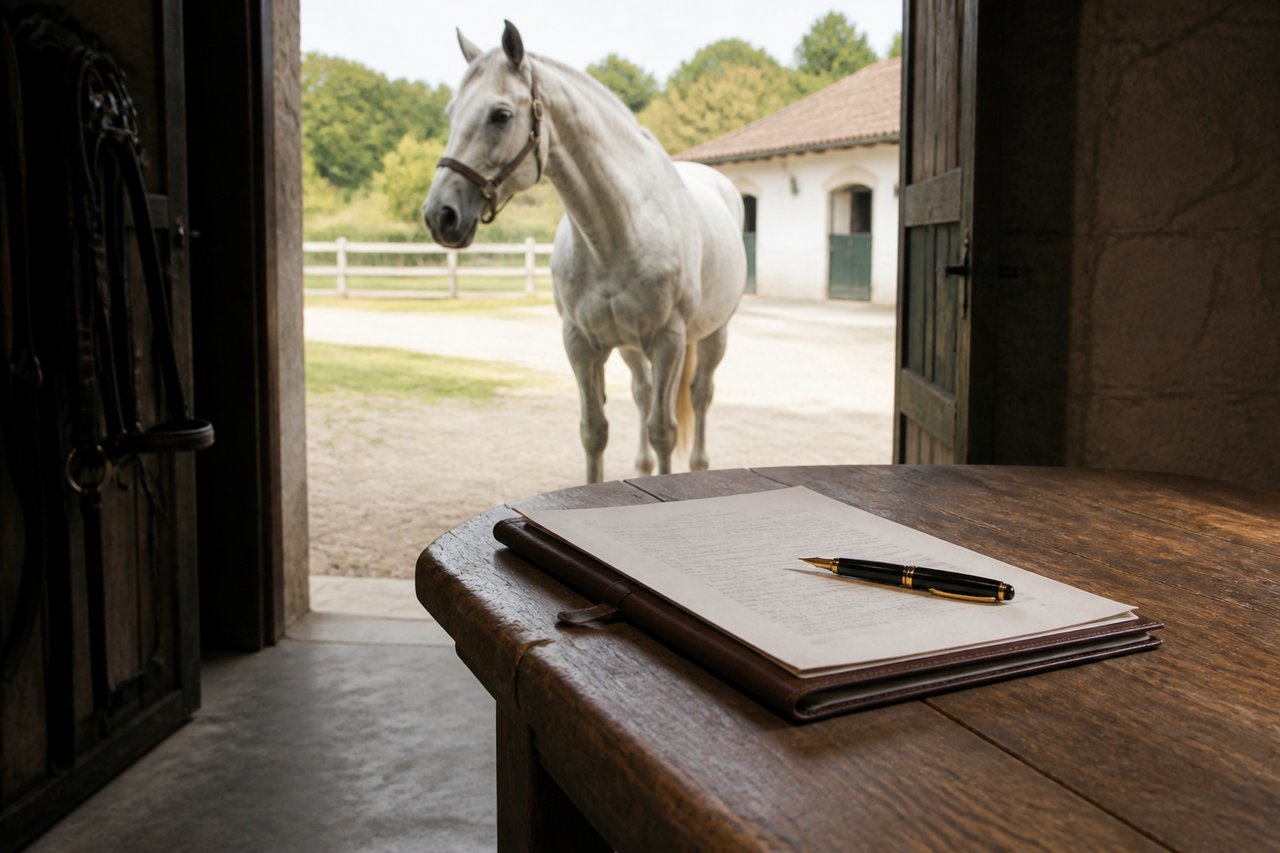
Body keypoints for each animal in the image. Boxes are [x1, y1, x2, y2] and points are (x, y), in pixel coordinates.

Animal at [423, 20, 746, 484]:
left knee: (700, 396)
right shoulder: (579, 342)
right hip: (631, 347)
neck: (614, 232)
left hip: (712, 335)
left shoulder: (669, 341)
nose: (440, 215)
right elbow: (594, 431)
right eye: (452, 113)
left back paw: (699, 464)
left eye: (501, 115)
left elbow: (664, 432)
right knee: (643, 392)